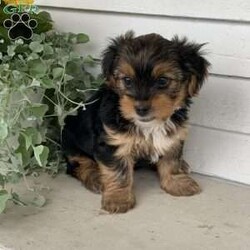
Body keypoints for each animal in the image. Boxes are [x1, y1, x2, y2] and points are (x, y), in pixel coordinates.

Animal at [62, 31, 209, 213]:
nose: (141, 109)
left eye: (162, 81)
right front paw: (118, 198)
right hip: (71, 141)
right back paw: (95, 177)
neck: (149, 125)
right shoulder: (113, 143)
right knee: (78, 163)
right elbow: (117, 171)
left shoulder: (173, 137)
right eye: (127, 80)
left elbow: (171, 160)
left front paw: (177, 182)